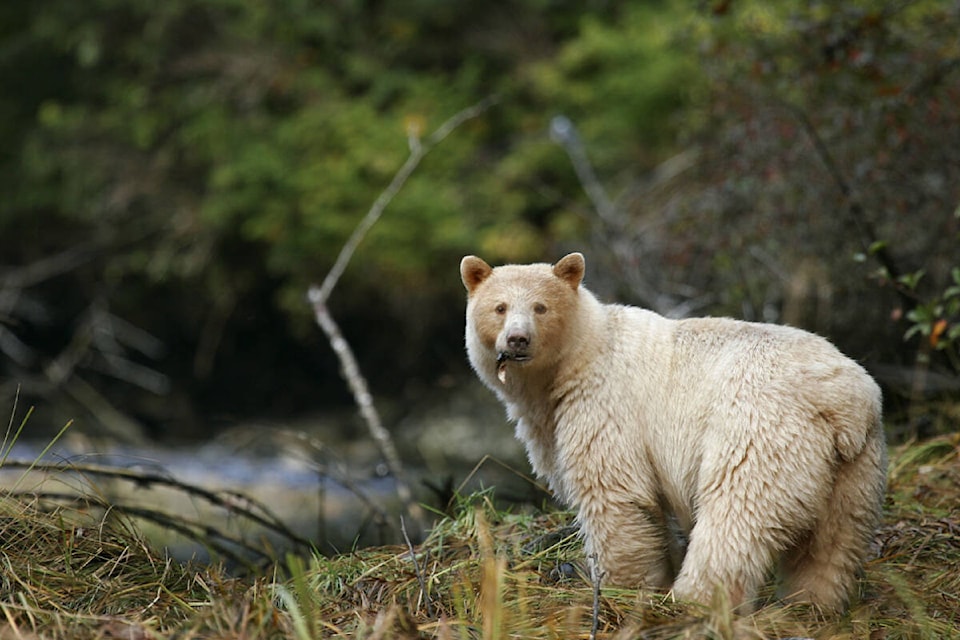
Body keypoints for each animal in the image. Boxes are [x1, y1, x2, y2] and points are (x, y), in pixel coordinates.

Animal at [460, 252, 886, 611]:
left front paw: (620, 588)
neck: (577, 358)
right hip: (855, 465)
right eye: (500, 307)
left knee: (736, 517)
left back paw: (694, 599)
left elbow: (614, 493)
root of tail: (843, 401)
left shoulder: (606, 403)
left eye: (540, 307)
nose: (517, 339)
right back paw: (811, 603)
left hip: (760, 431)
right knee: (832, 541)